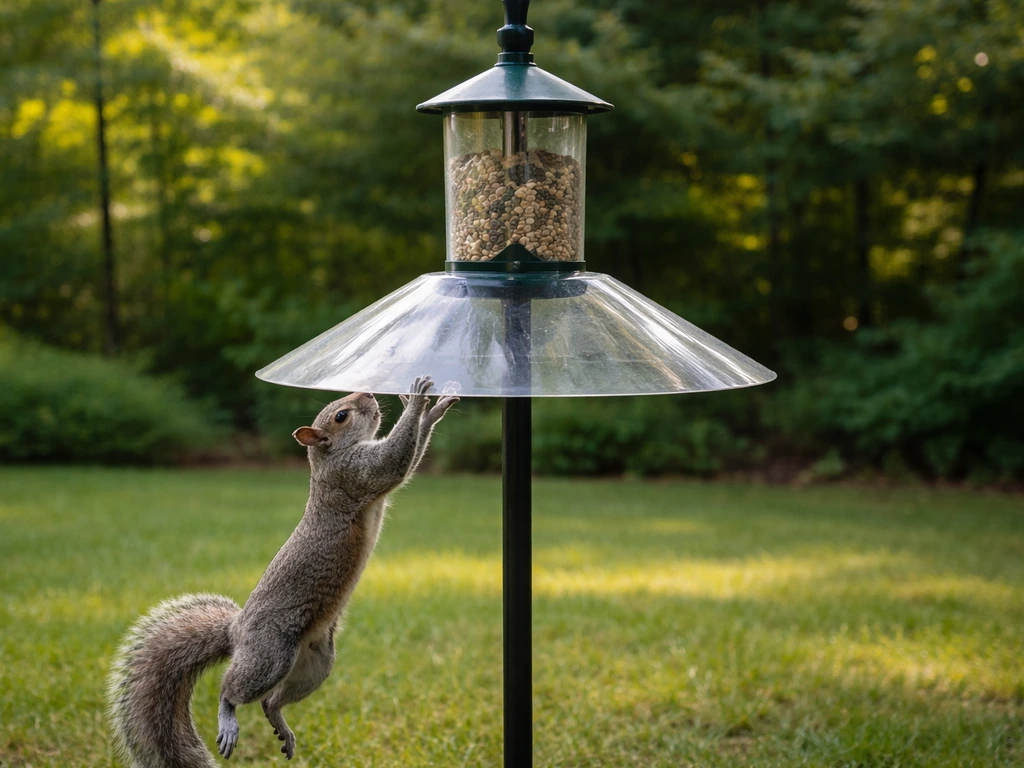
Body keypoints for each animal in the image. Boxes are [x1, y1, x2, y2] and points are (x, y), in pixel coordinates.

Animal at [106, 376, 458, 767]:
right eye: (341, 415)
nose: (368, 392)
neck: (327, 460)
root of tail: (236, 631)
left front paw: (433, 410)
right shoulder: (355, 473)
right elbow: (396, 460)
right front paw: (418, 398)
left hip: (318, 661)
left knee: (269, 701)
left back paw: (281, 725)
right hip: (271, 654)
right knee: (233, 689)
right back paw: (228, 718)